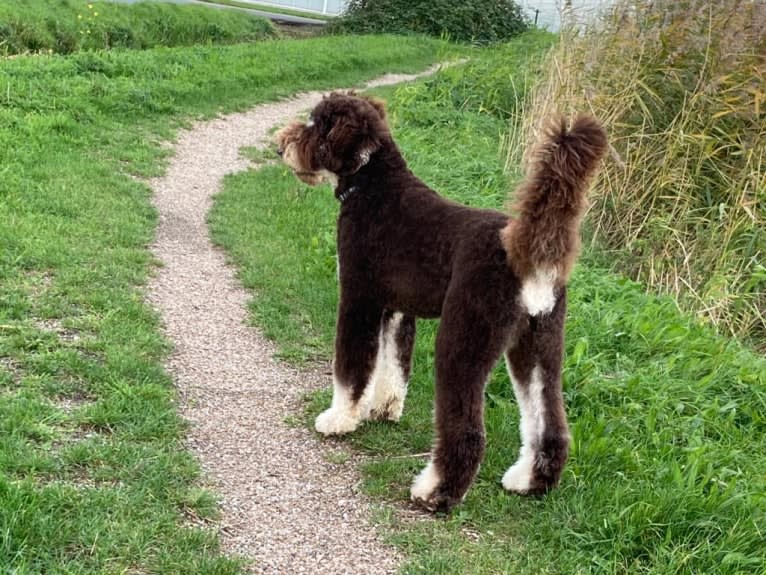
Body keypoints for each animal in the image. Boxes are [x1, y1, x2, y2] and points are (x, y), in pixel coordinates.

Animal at [274, 94, 608, 512]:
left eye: (315, 125)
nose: (280, 146)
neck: (373, 186)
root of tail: (526, 255)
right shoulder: (396, 309)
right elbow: (393, 366)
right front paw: (382, 410)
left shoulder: (359, 298)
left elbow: (352, 368)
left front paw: (340, 418)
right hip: (539, 346)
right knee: (550, 424)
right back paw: (530, 483)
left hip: (462, 341)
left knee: (467, 432)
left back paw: (435, 492)